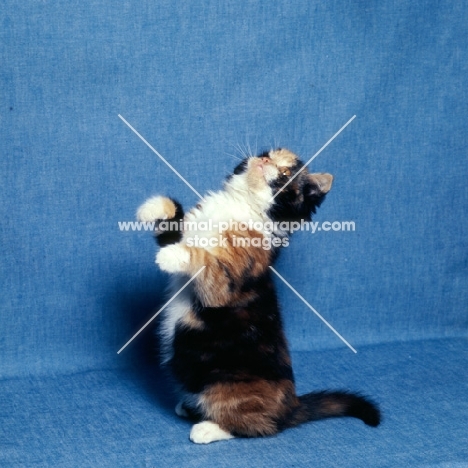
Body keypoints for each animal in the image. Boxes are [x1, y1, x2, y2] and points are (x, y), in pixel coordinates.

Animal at [136, 148, 380, 444]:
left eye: (285, 173)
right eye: (267, 154)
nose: (263, 161)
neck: (240, 205)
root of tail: (290, 407)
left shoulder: (225, 283)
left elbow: (206, 262)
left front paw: (173, 256)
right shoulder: (187, 230)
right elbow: (172, 228)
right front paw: (153, 207)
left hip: (228, 384)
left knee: (259, 426)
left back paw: (209, 428)